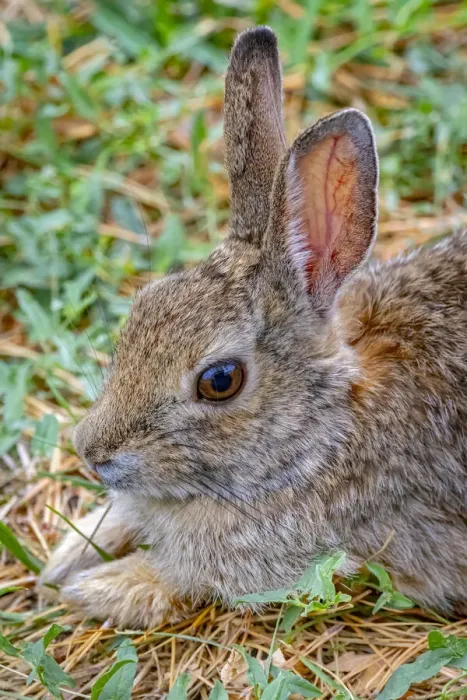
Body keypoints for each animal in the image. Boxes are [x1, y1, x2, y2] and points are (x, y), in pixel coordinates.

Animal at [39, 26, 467, 629]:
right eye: (143, 304)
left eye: (220, 381)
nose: (91, 453)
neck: (323, 431)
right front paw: (66, 556)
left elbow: (178, 580)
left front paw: (95, 589)